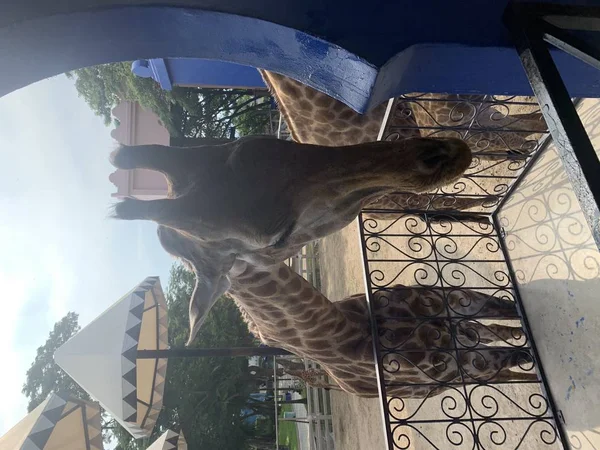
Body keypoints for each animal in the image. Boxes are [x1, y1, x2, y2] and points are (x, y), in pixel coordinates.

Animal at [158, 225, 536, 398]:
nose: (162, 230)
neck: (351, 333)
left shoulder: (455, 300)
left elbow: (509, 310)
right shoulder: (464, 363)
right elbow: (525, 348)